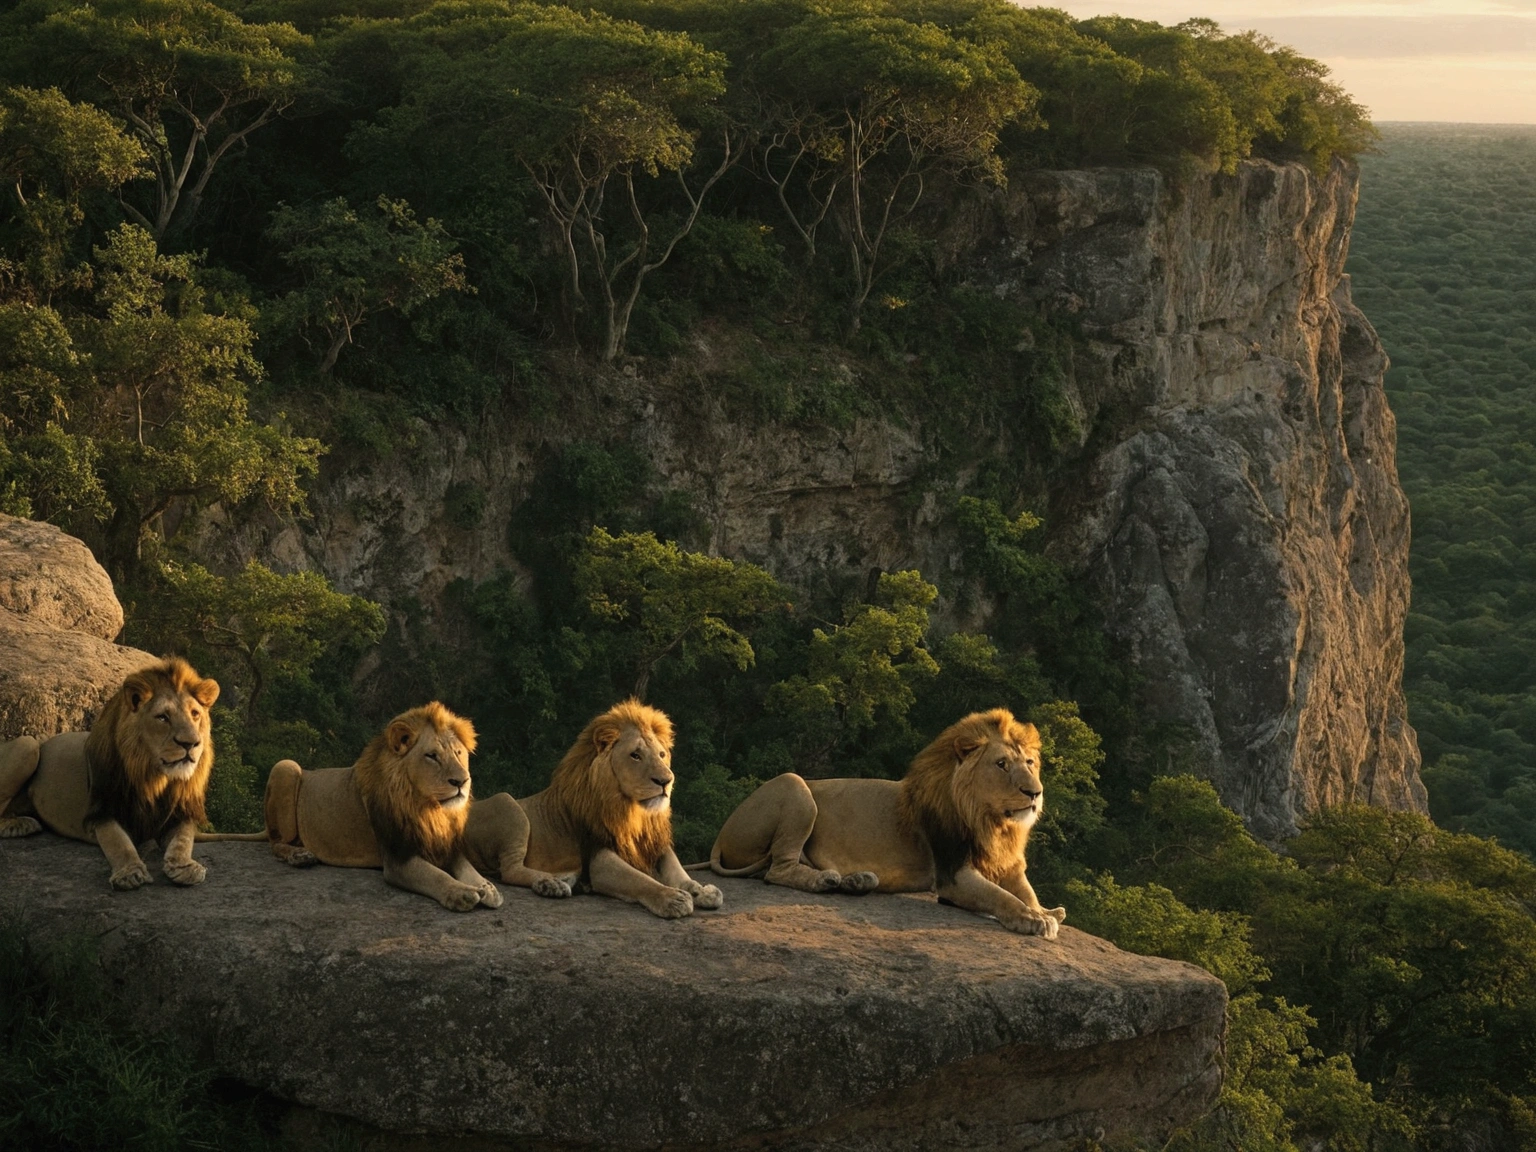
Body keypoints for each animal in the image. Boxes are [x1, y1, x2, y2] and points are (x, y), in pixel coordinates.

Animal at [0, 657, 222, 890]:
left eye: (195, 714)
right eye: (162, 717)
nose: (191, 743)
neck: (154, 778)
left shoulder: (179, 813)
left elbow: (183, 839)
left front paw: (185, 867)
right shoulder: (102, 811)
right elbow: (118, 842)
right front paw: (129, 873)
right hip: (28, 744)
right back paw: (19, 825)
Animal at [256, 700, 509, 915]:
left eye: (458, 753)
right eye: (432, 756)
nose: (462, 781)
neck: (429, 809)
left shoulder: (445, 845)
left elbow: (468, 870)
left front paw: (488, 888)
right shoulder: (398, 858)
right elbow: (435, 875)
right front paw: (461, 893)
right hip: (286, 767)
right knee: (276, 843)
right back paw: (299, 856)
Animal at [460, 700, 724, 927]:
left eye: (662, 754)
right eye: (635, 755)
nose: (666, 781)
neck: (634, 813)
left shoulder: (654, 844)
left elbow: (677, 870)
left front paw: (700, 889)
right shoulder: (598, 855)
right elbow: (640, 879)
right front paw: (673, 898)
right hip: (507, 803)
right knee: (510, 870)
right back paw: (552, 883)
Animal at [706, 709, 1069, 940]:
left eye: (1030, 763)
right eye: (1002, 764)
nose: (1034, 793)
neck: (994, 823)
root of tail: (720, 837)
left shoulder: (1009, 865)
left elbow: (1026, 892)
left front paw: (1047, 911)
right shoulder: (952, 874)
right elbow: (1002, 897)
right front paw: (1033, 919)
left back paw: (853, 881)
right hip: (794, 785)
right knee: (776, 871)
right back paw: (825, 880)